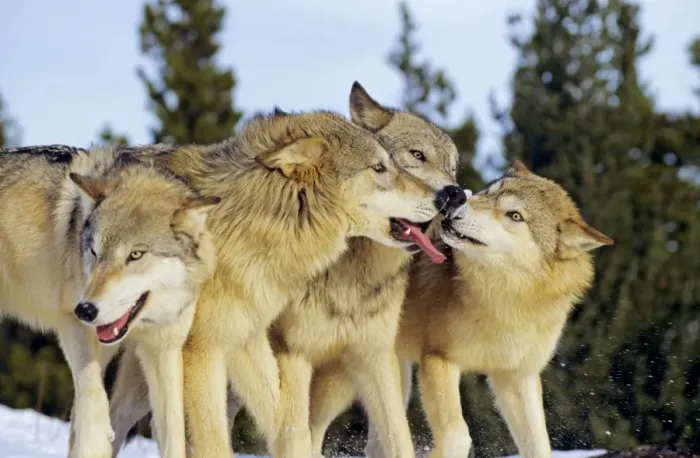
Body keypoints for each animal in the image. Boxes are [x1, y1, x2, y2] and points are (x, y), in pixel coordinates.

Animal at [0, 145, 219, 458]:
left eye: (135, 255)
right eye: (94, 251)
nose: (86, 309)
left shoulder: (163, 350)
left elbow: (173, 430)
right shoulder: (71, 325)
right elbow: (94, 398)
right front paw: (97, 441)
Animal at [108, 82, 468, 457]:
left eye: (453, 168)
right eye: (416, 156)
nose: (453, 195)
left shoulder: (374, 356)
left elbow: (397, 437)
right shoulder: (287, 354)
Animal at [307, 160, 614, 458]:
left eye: (515, 215)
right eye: (489, 192)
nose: (455, 202)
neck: (503, 301)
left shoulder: (517, 377)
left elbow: (539, 444)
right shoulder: (438, 360)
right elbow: (458, 435)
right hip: (344, 378)